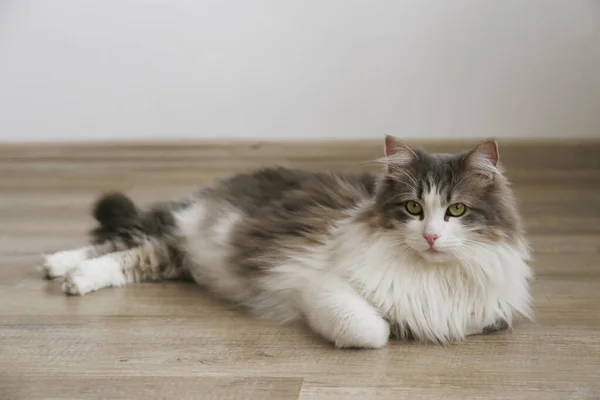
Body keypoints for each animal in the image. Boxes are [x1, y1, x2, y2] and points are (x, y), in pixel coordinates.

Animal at [41, 136, 536, 348]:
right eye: (414, 208)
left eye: (457, 211)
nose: (432, 236)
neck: (432, 275)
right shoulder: (321, 285)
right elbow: (371, 331)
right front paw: (390, 329)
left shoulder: (489, 315)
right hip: (176, 227)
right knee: (118, 240)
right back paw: (61, 266)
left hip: (172, 255)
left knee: (128, 255)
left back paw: (68, 275)